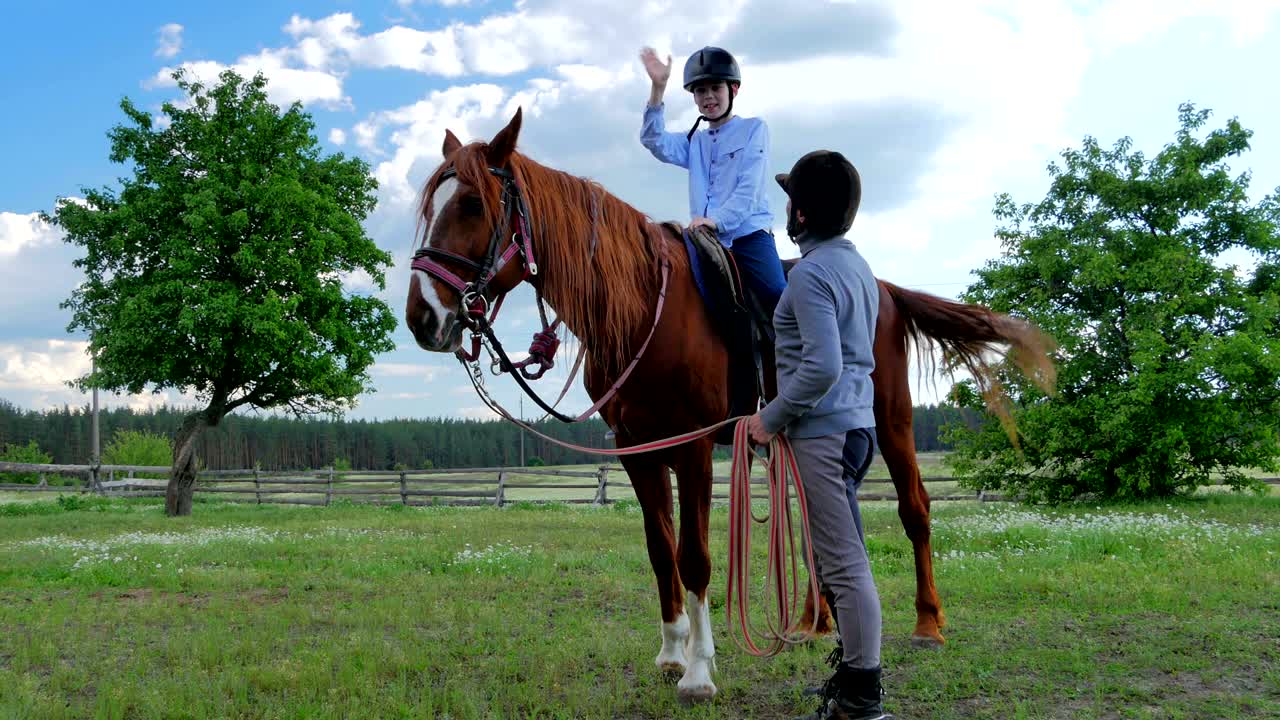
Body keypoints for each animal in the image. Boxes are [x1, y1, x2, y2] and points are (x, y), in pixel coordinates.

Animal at [404, 108, 1055, 703]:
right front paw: (671, 652)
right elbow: (659, 548)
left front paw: (698, 672)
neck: (645, 310)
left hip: (893, 423)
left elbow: (693, 555)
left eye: (472, 205)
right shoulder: (637, 451)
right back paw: (815, 621)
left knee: (914, 509)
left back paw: (926, 624)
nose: (422, 317)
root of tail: (885, 289)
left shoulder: (692, 446)